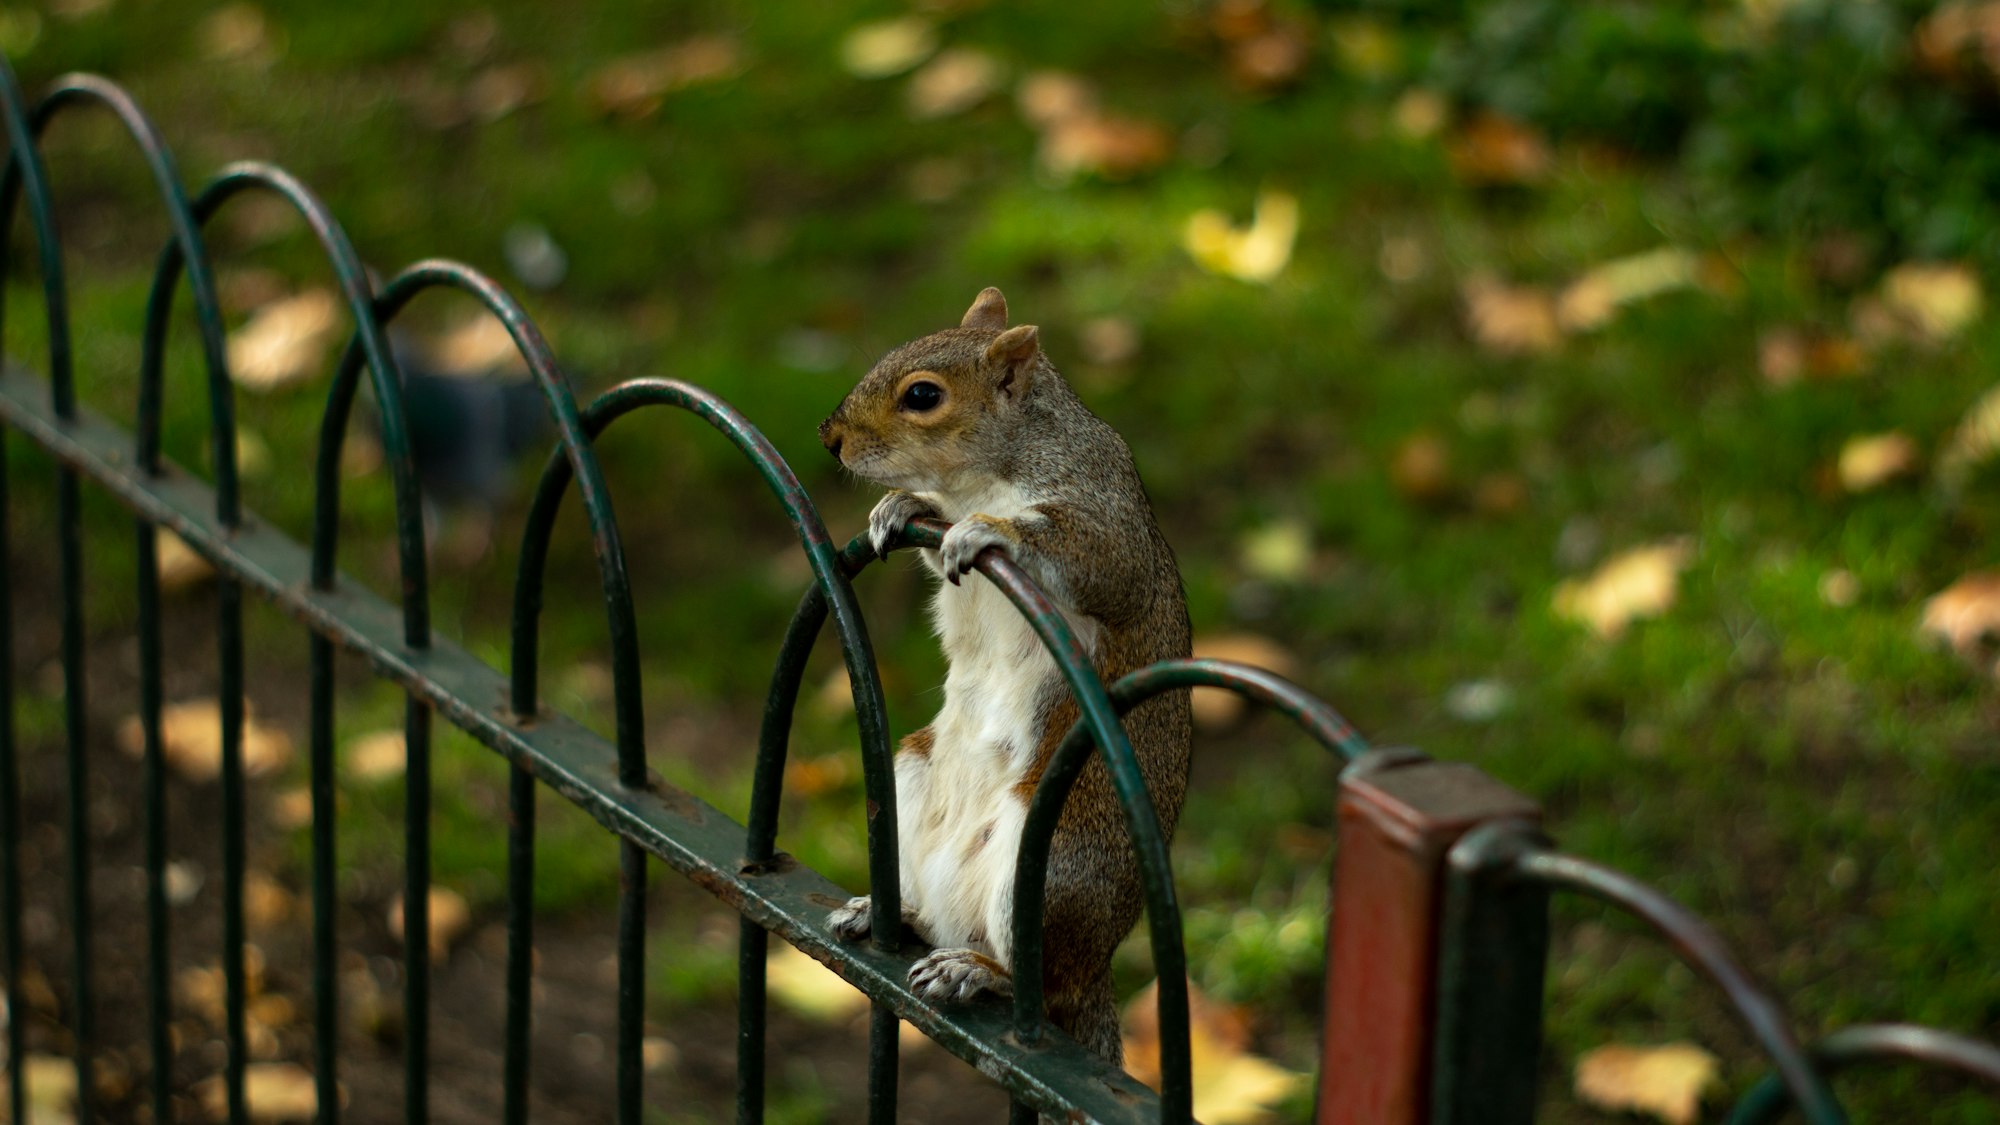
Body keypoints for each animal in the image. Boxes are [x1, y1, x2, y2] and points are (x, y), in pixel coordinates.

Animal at [812, 288, 1184, 1056]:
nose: (829, 437)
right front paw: (903, 505)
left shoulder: (1107, 517)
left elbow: (1096, 561)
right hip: (912, 775)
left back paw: (978, 971)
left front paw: (993, 530)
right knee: (935, 917)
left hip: (1055, 867)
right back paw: (892, 914)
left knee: (1042, 986)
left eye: (923, 396)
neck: (981, 478)